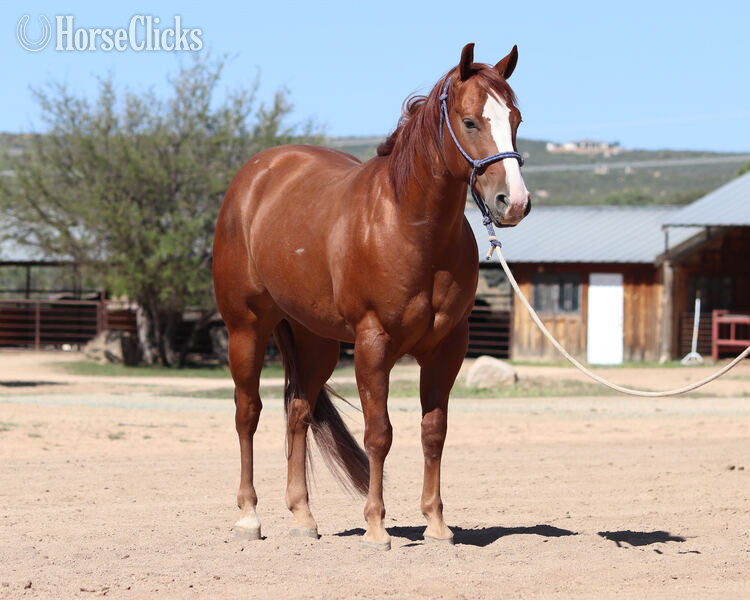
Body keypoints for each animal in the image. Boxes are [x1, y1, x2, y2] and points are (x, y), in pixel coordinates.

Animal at [212, 43, 531, 550]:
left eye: (515, 118)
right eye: (470, 122)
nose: (513, 202)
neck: (409, 226)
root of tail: (255, 176)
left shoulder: (447, 347)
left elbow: (433, 432)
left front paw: (436, 524)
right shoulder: (373, 343)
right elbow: (379, 434)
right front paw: (377, 527)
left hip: (315, 341)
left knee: (298, 413)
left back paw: (303, 517)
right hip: (246, 328)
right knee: (249, 413)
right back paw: (249, 516)